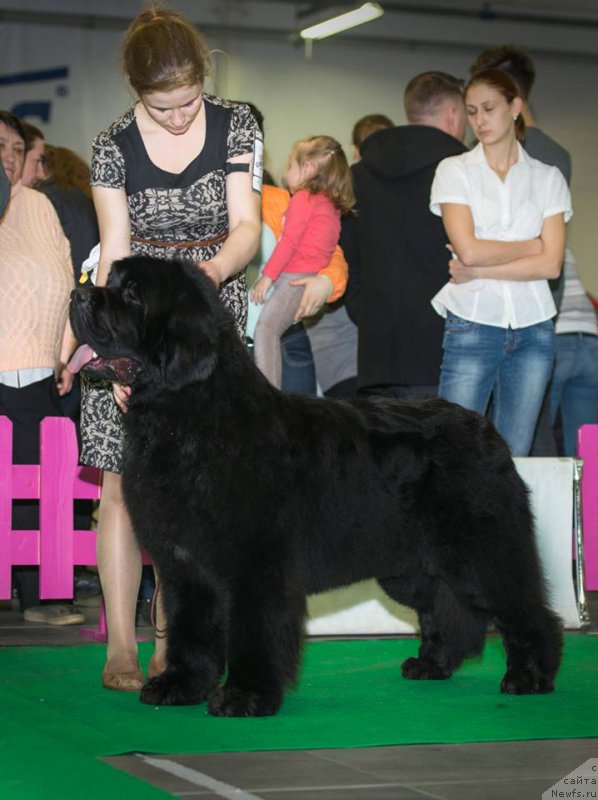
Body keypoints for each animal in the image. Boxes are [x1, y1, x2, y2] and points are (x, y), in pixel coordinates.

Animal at [70, 258, 564, 720]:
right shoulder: (185, 568)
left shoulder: (255, 569)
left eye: (132, 295)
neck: (188, 419)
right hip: (411, 569)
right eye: (111, 282)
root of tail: (486, 427)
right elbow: (190, 632)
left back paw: (529, 676)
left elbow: (251, 632)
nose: (78, 295)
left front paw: (246, 696)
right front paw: (180, 685)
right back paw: (432, 664)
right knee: (442, 608)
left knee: (525, 610)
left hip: (483, 553)